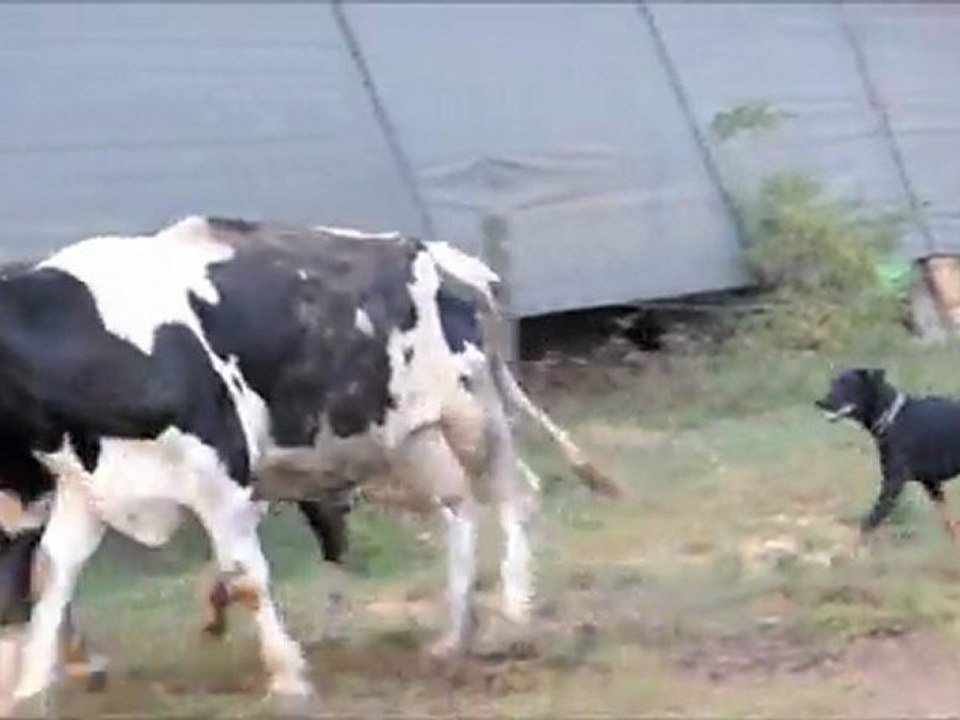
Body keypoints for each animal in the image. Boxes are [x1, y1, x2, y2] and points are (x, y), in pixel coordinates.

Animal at [0, 216, 615, 714]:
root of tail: (432, 253)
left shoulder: (222, 476)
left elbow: (245, 578)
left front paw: (289, 680)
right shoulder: (87, 486)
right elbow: (52, 574)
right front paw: (30, 690)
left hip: (472, 416)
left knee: (515, 495)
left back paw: (514, 615)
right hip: (409, 440)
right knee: (456, 509)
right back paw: (453, 635)